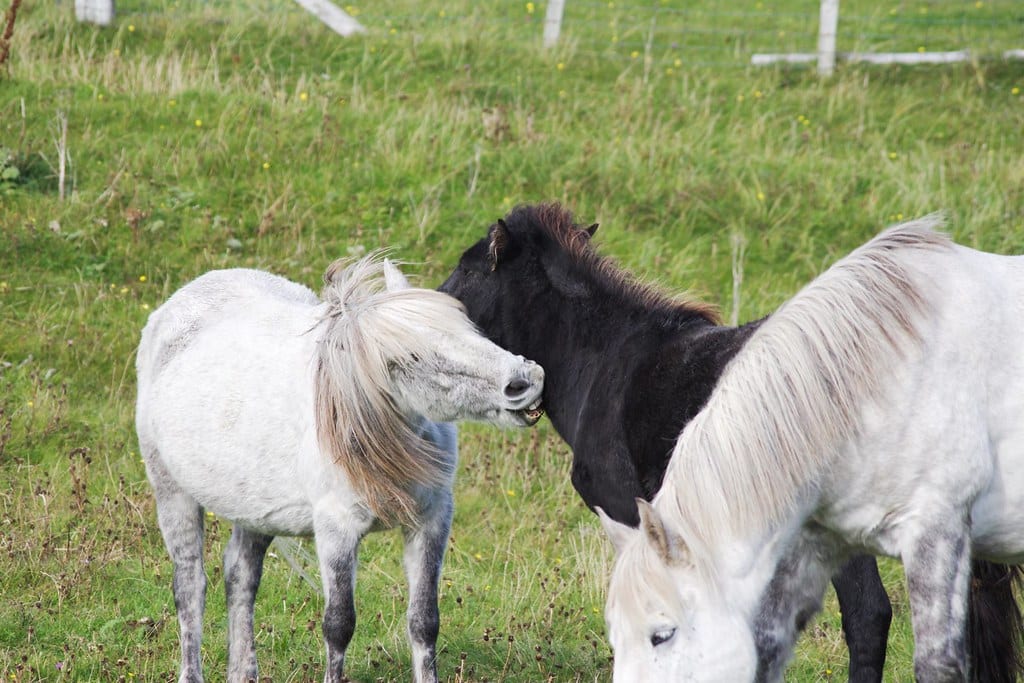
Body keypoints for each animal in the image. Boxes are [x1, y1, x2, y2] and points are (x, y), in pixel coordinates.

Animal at [135, 254, 545, 683]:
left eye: (466, 327)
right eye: (413, 358)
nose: (526, 381)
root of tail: (176, 304)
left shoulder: (430, 522)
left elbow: (424, 621)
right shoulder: (336, 529)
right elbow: (339, 624)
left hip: (253, 510)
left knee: (240, 578)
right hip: (172, 494)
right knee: (190, 586)